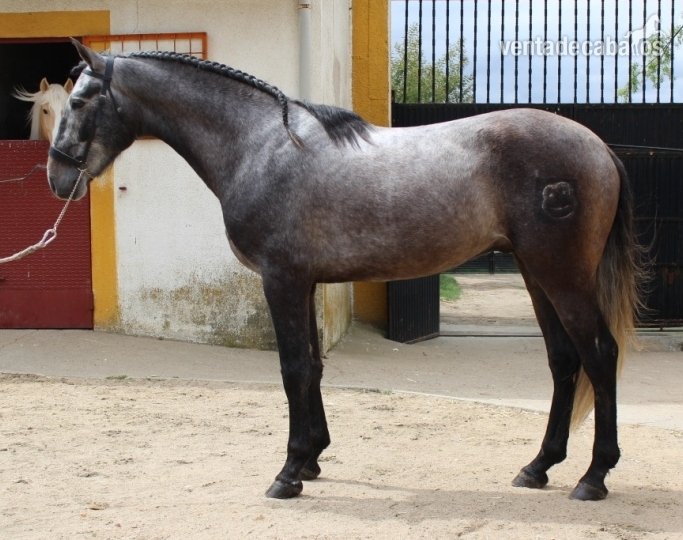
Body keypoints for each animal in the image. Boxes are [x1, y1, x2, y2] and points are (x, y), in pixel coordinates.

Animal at [48, 40, 645, 502]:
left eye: (77, 100)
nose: (57, 178)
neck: (260, 146)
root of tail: (599, 148)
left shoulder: (282, 282)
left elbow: (292, 370)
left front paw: (288, 474)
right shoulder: (305, 283)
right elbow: (312, 367)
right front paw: (313, 459)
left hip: (561, 276)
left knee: (599, 354)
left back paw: (593, 477)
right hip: (536, 274)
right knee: (564, 361)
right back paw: (538, 467)